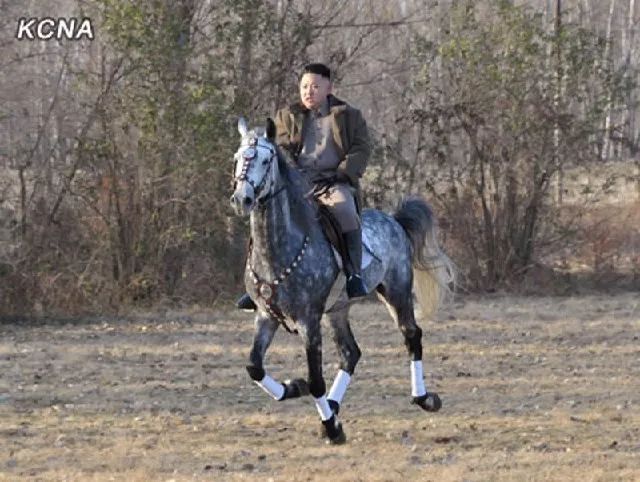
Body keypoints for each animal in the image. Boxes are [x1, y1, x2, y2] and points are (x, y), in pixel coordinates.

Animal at [229, 117, 454, 444]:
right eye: (237, 158)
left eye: (265, 159)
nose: (242, 199)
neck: (277, 251)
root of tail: (394, 221)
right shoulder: (265, 317)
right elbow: (254, 367)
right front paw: (293, 388)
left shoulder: (309, 320)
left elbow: (316, 379)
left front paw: (331, 428)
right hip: (337, 310)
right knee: (351, 353)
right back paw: (333, 405)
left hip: (397, 293)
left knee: (411, 336)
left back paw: (423, 398)